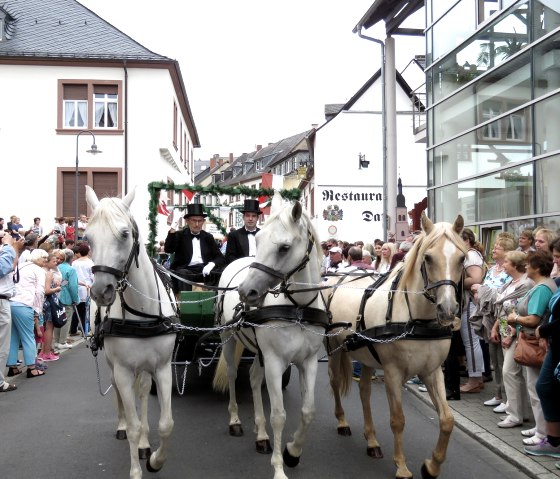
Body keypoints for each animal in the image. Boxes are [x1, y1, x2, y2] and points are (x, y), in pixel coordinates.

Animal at [85, 188, 177, 479]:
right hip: (113, 365)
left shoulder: (163, 367)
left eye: (125, 234)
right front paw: (136, 470)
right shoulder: (123, 371)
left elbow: (166, 423)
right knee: (118, 394)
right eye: (87, 238)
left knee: (143, 393)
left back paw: (146, 444)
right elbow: (135, 424)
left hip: (146, 368)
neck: (142, 313)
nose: (101, 291)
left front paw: (156, 460)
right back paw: (122, 426)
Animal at [212, 194, 328, 479]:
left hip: (259, 351)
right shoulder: (275, 362)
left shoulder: (308, 361)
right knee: (233, 374)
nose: (246, 291)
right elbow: (279, 415)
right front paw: (278, 468)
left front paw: (293, 452)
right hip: (228, 338)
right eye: (258, 239)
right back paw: (235, 421)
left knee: (254, 378)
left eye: (284, 247)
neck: (297, 307)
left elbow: (308, 411)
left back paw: (262, 435)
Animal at [324, 215, 464, 479]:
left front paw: (431, 466)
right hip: (334, 346)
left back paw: (371, 441)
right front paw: (401, 466)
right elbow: (398, 420)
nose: (448, 310)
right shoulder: (392, 373)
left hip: (367, 355)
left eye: (462, 258)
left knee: (364, 392)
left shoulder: (432, 372)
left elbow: (447, 420)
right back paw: (342, 422)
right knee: (336, 382)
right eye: (428, 258)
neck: (417, 319)